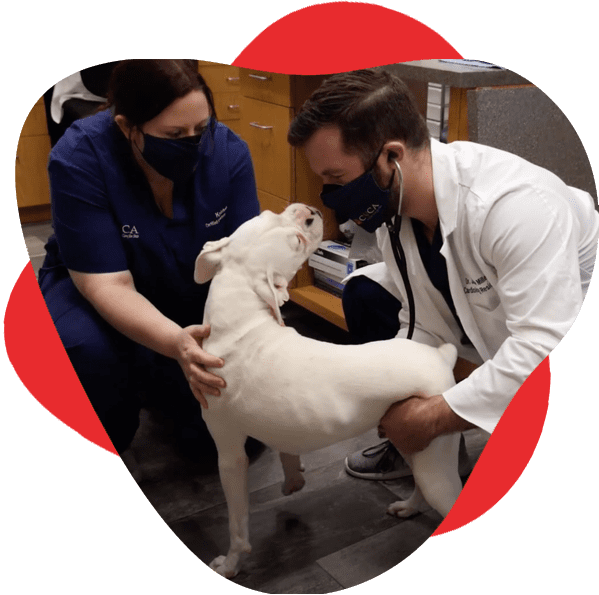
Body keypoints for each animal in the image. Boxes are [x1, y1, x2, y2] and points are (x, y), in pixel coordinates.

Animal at [195, 204, 462, 576]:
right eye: (268, 215)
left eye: (295, 236)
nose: (309, 211)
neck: (239, 320)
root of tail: (439, 356)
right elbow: (287, 453)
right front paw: (293, 481)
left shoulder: (231, 455)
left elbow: (237, 525)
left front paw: (230, 565)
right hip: (414, 440)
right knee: (421, 486)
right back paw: (408, 507)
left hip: (434, 464)